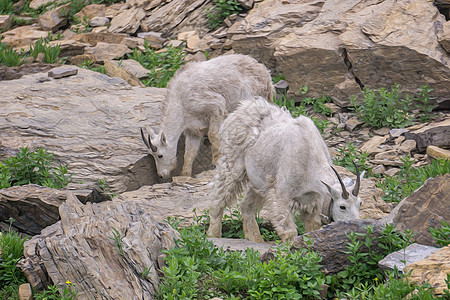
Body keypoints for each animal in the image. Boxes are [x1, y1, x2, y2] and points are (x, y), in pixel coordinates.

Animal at [141, 53, 274, 178]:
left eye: (160, 155)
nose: (161, 175)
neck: (180, 101)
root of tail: (266, 75)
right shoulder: (193, 130)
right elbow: (189, 152)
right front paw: (185, 174)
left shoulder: (216, 107)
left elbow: (213, 135)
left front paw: (216, 161)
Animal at [207, 97, 362, 243]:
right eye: (342, 206)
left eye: (360, 203)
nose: (355, 225)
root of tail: (237, 112)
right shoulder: (282, 195)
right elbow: (289, 231)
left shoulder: (313, 199)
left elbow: (312, 226)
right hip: (232, 163)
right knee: (218, 197)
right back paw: (213, 235)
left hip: (259, 181)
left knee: (246, 206)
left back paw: (256, 240)